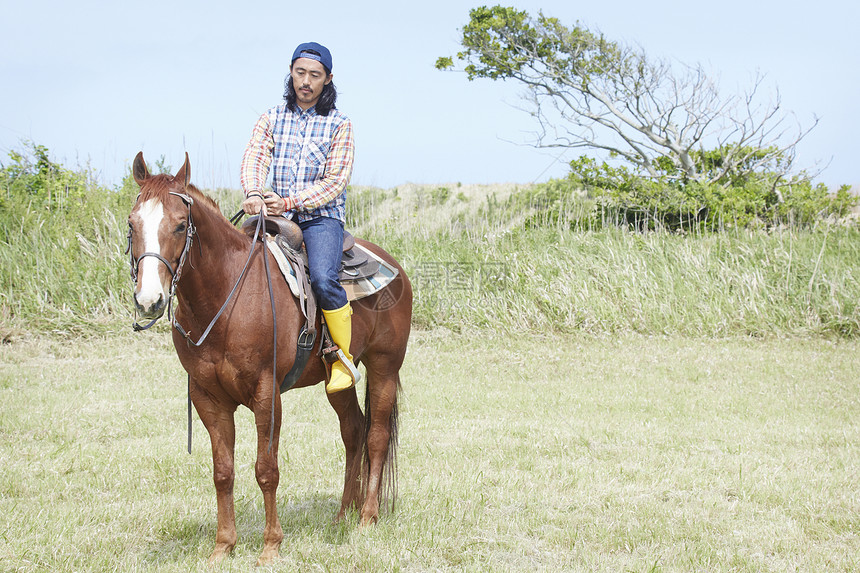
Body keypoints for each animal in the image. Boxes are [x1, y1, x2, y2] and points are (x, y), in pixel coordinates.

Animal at [124, 151, 414, 564]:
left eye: (180, 225)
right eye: (132, 224)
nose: (150, 300)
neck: (227, 296)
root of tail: (396, 269)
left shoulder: (266, 394)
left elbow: (266, 469)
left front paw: (271, 546)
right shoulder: (208, 398)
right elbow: (223, 472)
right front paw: (223, 547)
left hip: (384, 366)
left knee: (376, 436)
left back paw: (367, 517)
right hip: (337, 381)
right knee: (354, 431)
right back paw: (344, 513)